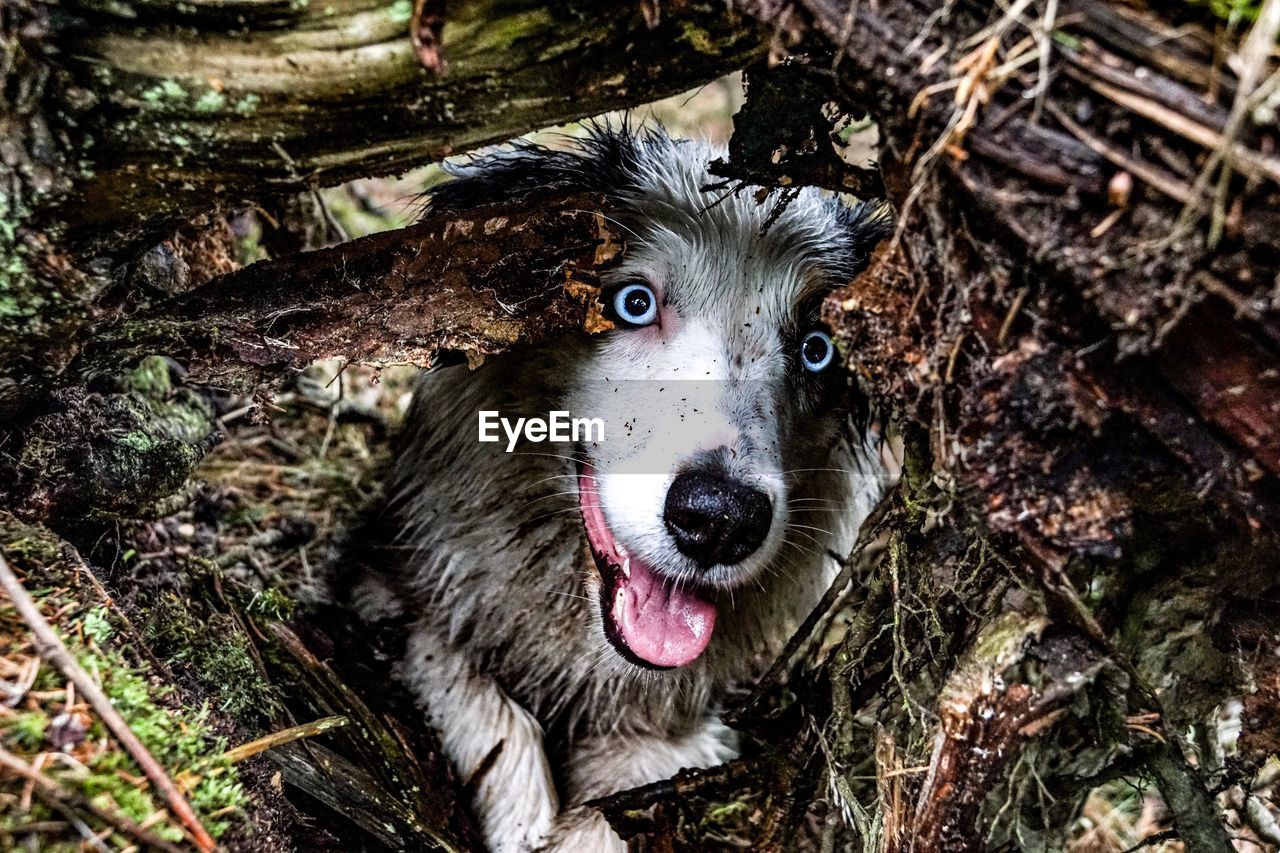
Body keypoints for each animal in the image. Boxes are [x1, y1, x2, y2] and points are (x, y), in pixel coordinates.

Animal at [348, 126, 890, 850]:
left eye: (817, 348)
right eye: (634, 303)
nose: (721, 518)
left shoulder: (672, 733)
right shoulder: (400, 592)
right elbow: (485, 703)